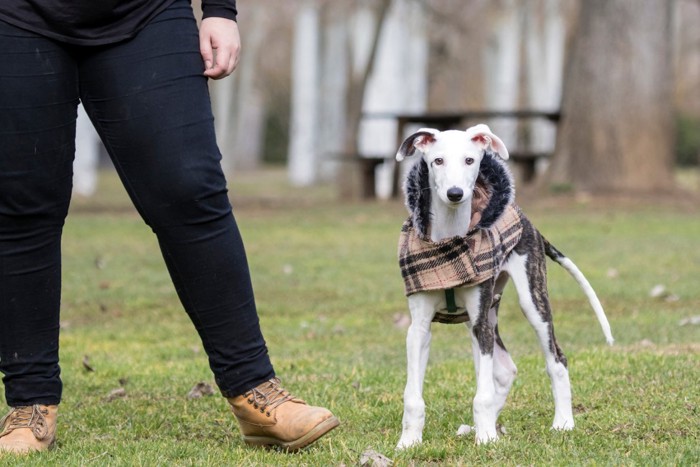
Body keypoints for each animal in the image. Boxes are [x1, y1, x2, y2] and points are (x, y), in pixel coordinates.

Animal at [394, 125, 612, 450]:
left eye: (470, 160)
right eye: (437, 161)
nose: (455, 194)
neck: (450, 243)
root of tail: (528, 221)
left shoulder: (480, 324)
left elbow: (481, 394)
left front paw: (486, 440)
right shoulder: (419, 328)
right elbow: (412, 396)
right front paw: (409, 442)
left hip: (530, 303)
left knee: (556, 360)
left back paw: (562, 422)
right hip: (488, 314)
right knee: (506, 370)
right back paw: (479, 426)